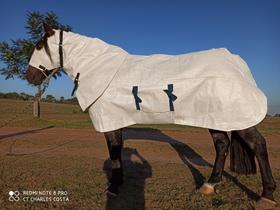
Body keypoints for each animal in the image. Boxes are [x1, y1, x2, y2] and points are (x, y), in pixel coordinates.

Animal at [25, 23, 276, 208]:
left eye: (39, 45)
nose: (29, 77)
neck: (99, 69)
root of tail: (238, 63)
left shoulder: (110, 122)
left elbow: (114, 154)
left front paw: (113, 188)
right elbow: (118, 152)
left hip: (237, 119)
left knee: (258, 144)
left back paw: (267, 195)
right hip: (216, 118)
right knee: (222, 145)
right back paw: (210, 185)